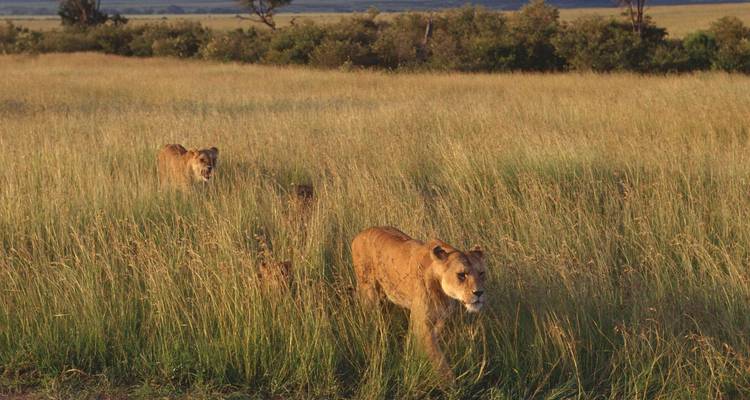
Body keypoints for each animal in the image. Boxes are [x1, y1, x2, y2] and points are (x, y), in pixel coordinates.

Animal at [351, 226, 487, 380]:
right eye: (461, 275)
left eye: (481, 273)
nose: (479, 293)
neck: (444, 293)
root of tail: (360, 233)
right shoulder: (421, 324)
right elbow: (438, 360)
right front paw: (451, 384)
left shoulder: (440, 319)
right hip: (368, 292)